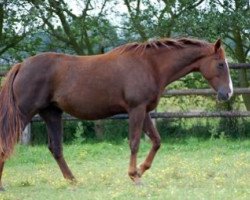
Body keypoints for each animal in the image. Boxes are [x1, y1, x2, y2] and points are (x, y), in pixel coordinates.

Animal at [0, 37, 232, 189]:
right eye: (221, 64)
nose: (227, 93)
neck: (150, 65)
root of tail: (21, 65)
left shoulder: (145, 111)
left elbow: (156, 140)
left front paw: (140, 170)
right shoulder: (136, 109)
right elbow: (135, 142)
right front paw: (134, 176)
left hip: (51, 113)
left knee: (55, 148)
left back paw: (73, 181)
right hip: (23, 114)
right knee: (8, 143)